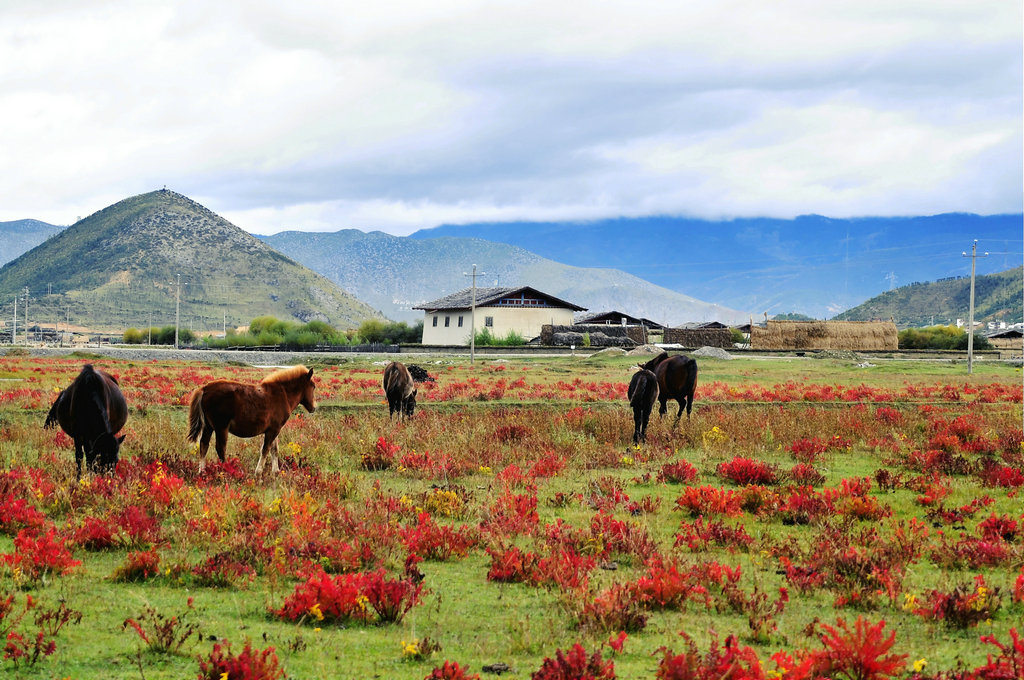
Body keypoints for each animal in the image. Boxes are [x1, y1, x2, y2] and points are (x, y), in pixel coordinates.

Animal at [187, 366, 315, 473]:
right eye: (313, 386)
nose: (313, 408)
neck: (282, 394)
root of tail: (204, 389)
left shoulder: (274, 429)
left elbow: (274, 449)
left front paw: (276, 472)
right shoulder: (273, 430)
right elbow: (265, 449)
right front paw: (258, 472)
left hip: (208, 426)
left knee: (204, 445)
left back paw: (202, 472)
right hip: (221, 427)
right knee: (220, 448)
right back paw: (225, 471)